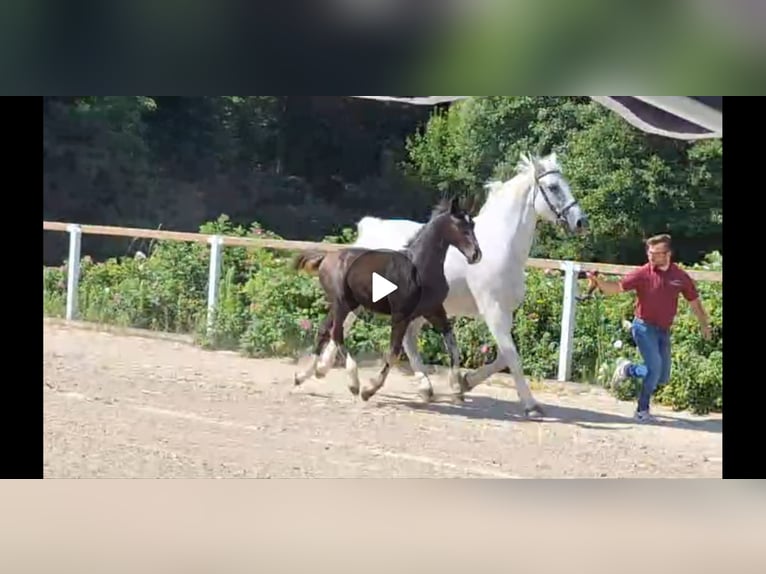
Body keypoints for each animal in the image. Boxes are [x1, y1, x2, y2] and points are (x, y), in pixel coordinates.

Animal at [292, 200, 484, 402]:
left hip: (343, 305)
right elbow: (393, 353)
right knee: (336, 333)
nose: (476, 255)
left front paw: (457, 386)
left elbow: (453, 347)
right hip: (343, 303)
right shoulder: (401, 316)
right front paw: (369, 390)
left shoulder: (434, 311)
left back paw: (303, 376)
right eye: (460, 226)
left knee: (323, 331)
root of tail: (326, 257)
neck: (418, 268)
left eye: (472, 225)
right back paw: (353, 383)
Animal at [312, 153, 588, 418]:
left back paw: (423, 388)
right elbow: (512, 356)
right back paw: (327, 372)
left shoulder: (505, 312)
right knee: (344, 325)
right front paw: (531, 406)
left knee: (406, 340)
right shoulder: (493, 311)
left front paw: (464, 382)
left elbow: (502, 357)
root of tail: (370, 227)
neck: (502, 246)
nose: (580, 222)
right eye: (553, 187)